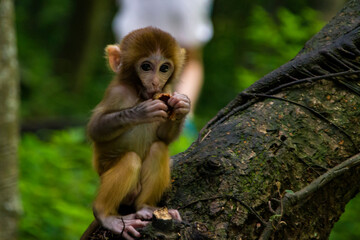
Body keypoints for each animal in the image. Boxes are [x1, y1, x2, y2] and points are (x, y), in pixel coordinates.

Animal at [86, 27, 190, 239]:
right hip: (110, 178)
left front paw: (182, 105)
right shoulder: (117, 92)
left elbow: (163, 137)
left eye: (164, 68)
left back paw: (145, 207)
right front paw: (140, 112)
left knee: (158, 148)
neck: (140, 93)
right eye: (146, 66)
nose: (156, 83)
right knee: (130, 160)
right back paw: (105, 215)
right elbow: (95, 129)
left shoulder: (167, 89)